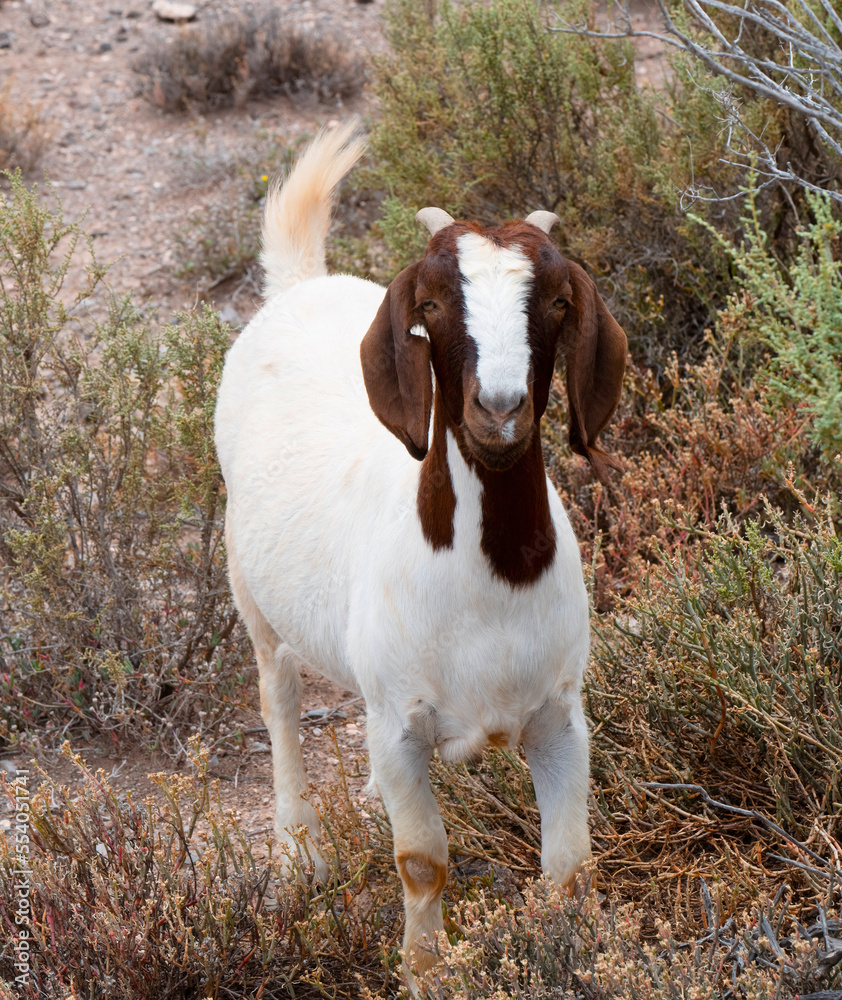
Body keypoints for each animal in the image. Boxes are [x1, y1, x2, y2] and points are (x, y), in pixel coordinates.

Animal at [214, 122, 627, 976]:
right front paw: (424, 968)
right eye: (431, 306)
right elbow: (422, 860)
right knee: (278, 699)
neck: (490, 583)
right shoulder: (401, 725)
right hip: (249, 588)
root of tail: (299, 285)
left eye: (558, 302)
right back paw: (298, 848)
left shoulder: (561, 717)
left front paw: (568, 956)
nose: (498, 410)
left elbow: (569, 864)